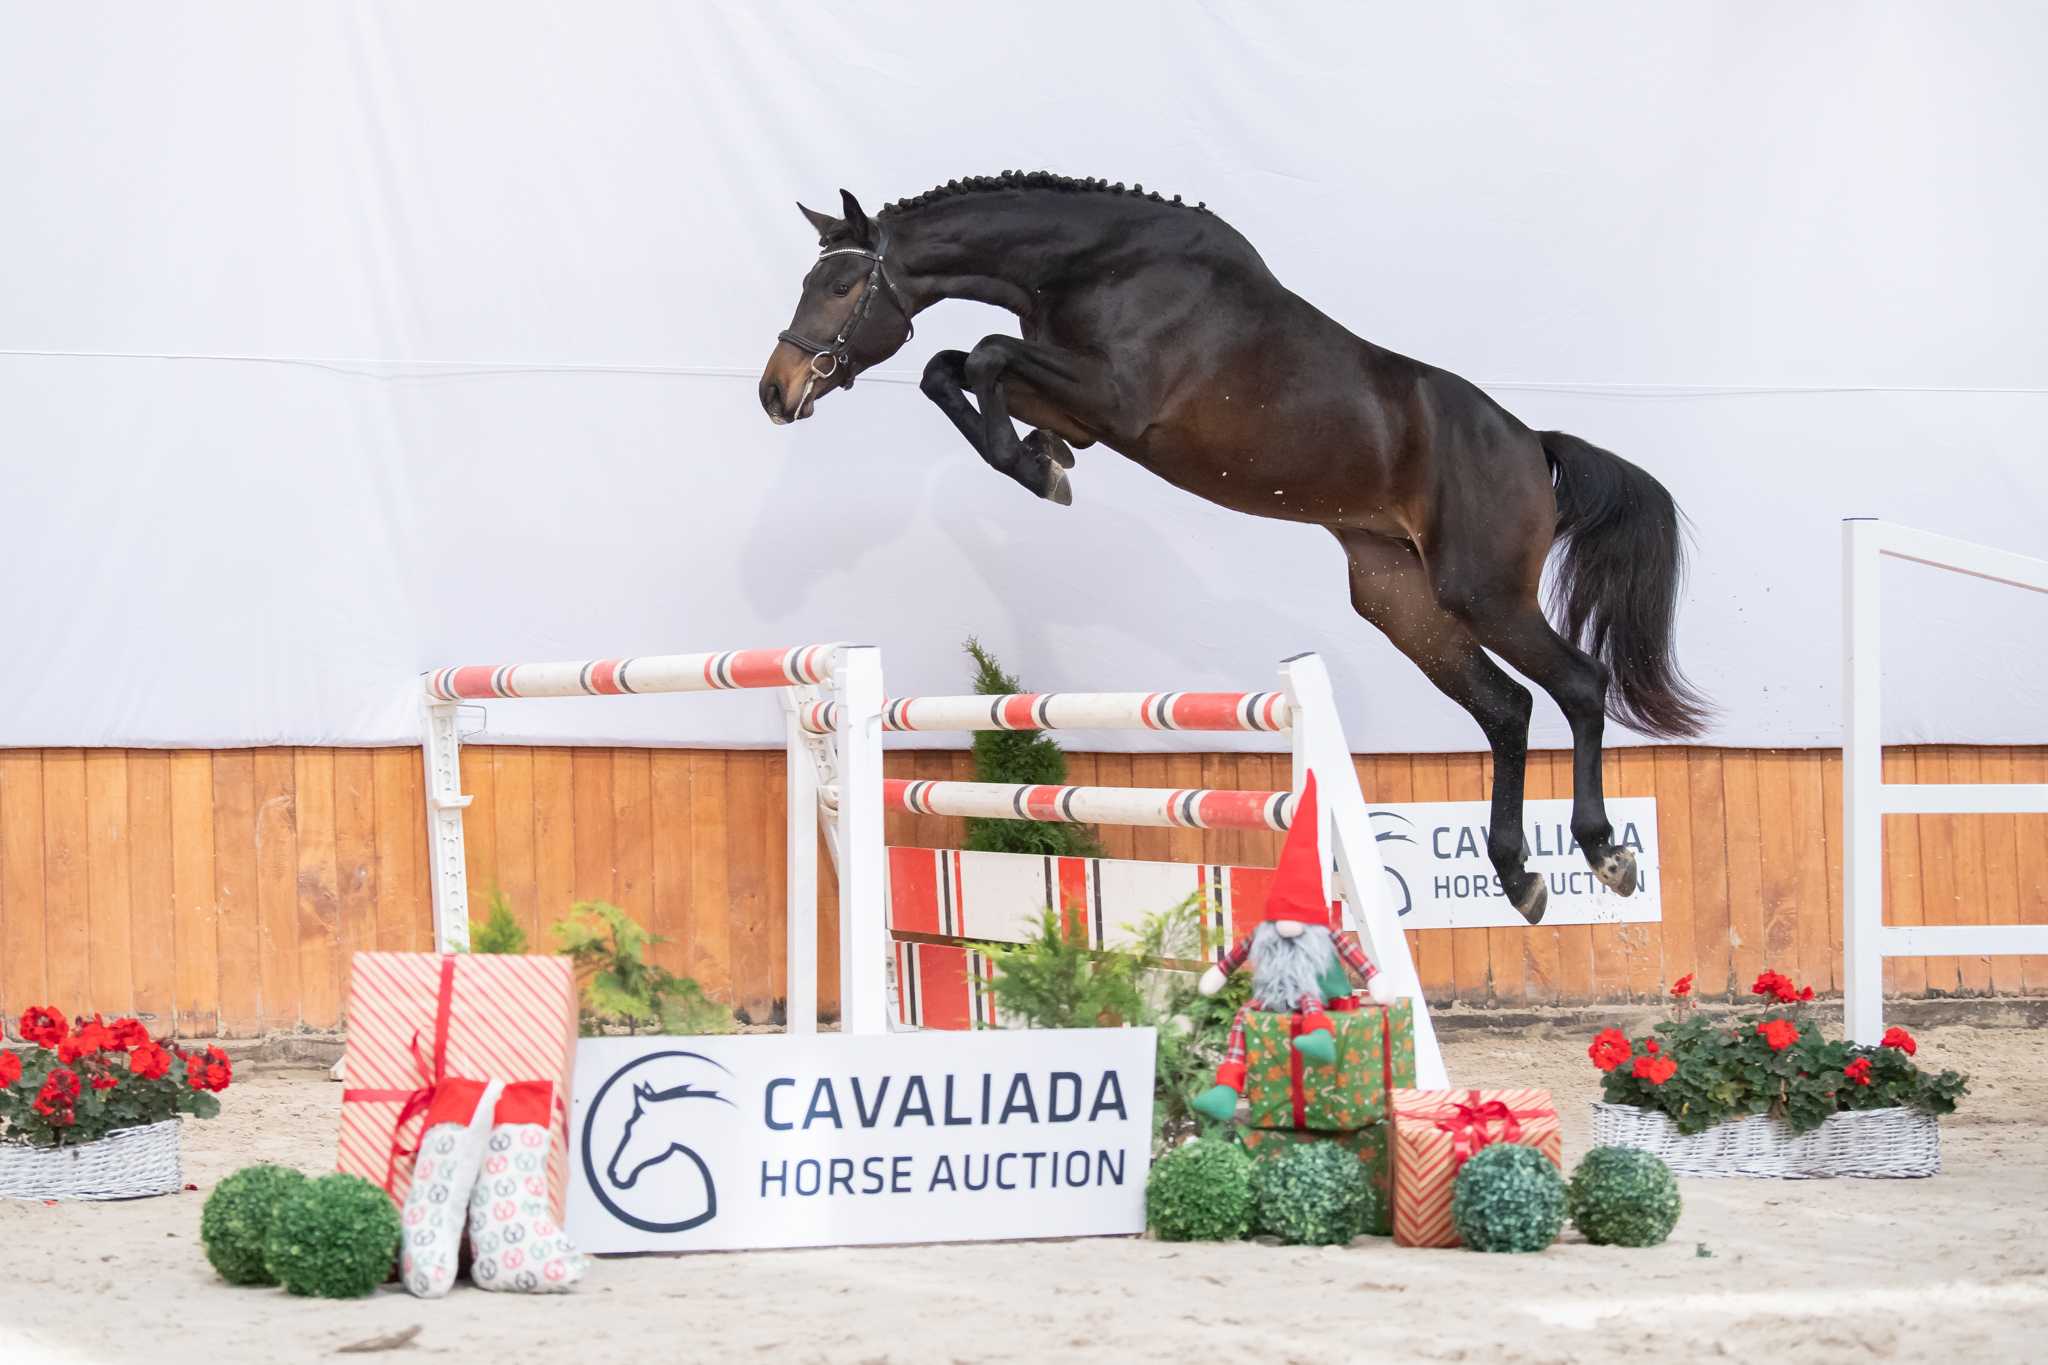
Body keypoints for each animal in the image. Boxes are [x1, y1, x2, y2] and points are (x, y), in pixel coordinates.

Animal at [759, 172, 1708, 925]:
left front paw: (1037, 468)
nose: (777, 390)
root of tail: (1530, 443)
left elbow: (985, 354)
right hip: (1400, 598)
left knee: (1577, 686)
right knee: (1506, 708)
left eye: (841, 284)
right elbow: (952, 367)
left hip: (1483, 592)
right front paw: (1042, 460)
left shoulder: (1116, 400)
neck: (1095, 264)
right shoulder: (1082, 404)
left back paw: (1604, 852)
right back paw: (1519, 876)